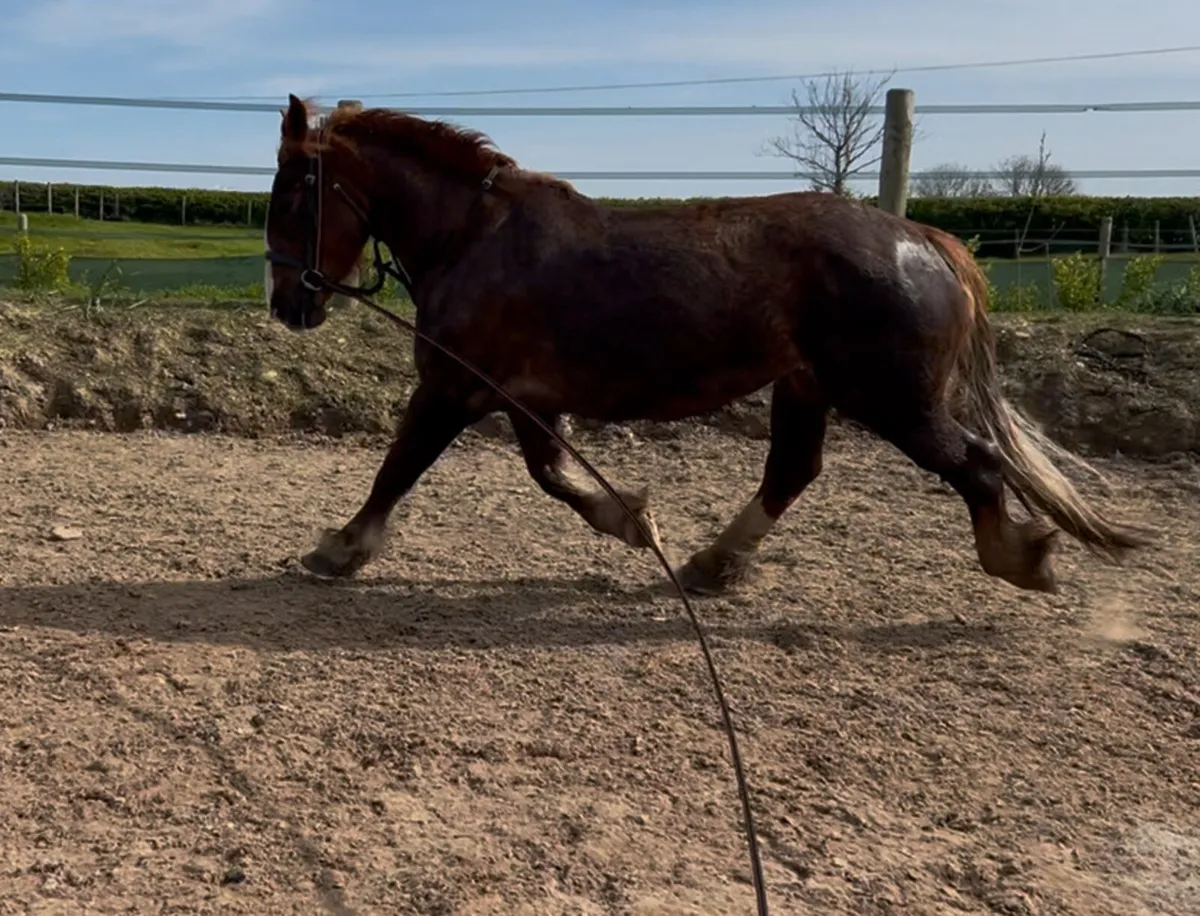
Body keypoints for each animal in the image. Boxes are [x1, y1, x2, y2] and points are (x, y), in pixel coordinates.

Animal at [263, 94, 1145, 597]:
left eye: (293, 192)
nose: (286, 301)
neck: (474, 238)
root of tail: (924, 240)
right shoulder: (523, 397)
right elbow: (552, 476)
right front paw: (634, 522)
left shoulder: (451, 386)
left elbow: (399, 465)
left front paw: (340, 548)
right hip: (808, 388)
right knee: (793, 472)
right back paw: (712, 564)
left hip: (891, 398)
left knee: (977, 465)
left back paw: (1020, 558)